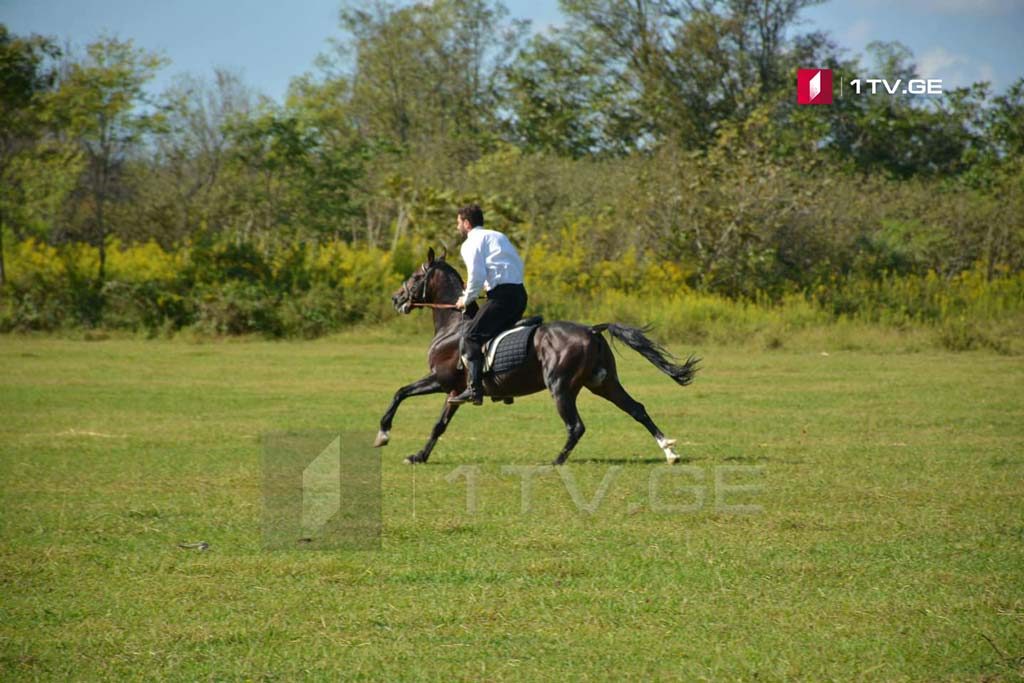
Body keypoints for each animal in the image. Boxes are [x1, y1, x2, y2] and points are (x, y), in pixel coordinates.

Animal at [376, 248, 704, 466]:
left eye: (415, 276)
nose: (395, 298)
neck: (453, 326)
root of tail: (592, 330)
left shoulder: (442, 381)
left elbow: (400, 392)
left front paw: (383, 434)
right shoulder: (455, 390)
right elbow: (439, 425)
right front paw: (419, 456)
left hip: (560, 386)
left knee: (576, 426)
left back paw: (555, 461)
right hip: (604, 383)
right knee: (637, 409)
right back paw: (670, 451)